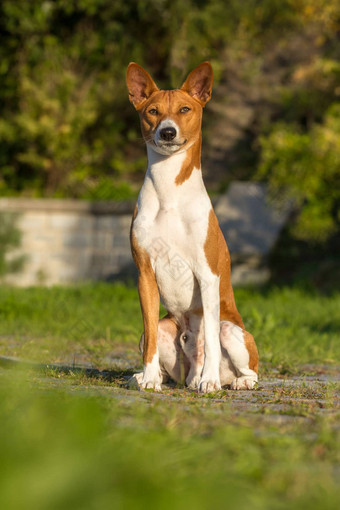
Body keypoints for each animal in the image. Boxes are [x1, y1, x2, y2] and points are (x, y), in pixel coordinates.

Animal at [127, 61, 258, 392]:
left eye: (185, 109)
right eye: (153, 111)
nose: (167, 131)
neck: (168, 193)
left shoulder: (207, 274)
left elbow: (209, 337)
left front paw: (210, 382)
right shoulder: (145, 274)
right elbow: (149, 335)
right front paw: (149, 378)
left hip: (231, 330)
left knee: (242, 362)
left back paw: (226, 380)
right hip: (166, 328)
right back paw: (160, 377)